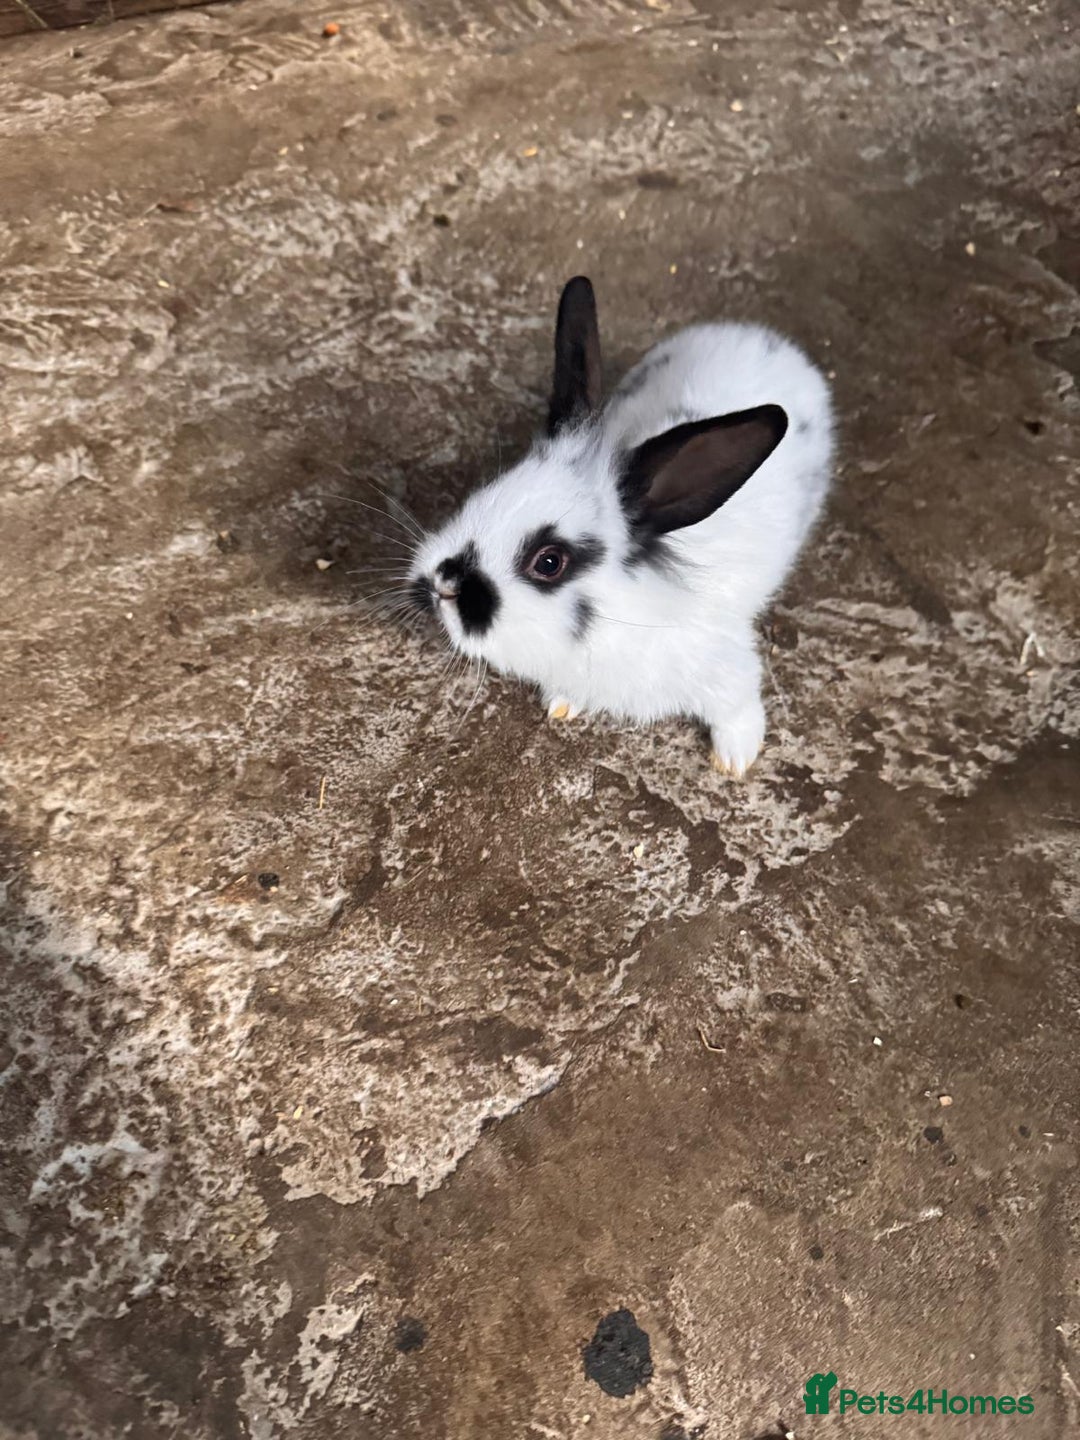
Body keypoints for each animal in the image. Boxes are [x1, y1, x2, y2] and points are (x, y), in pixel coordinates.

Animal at [406, 277, 834, 775]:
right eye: (486, 491)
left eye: (548, 562)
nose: (443, 584)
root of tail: (764, 338)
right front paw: (562, 706)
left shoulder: (728, 671)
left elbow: (738, 710)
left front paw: (734, 761)